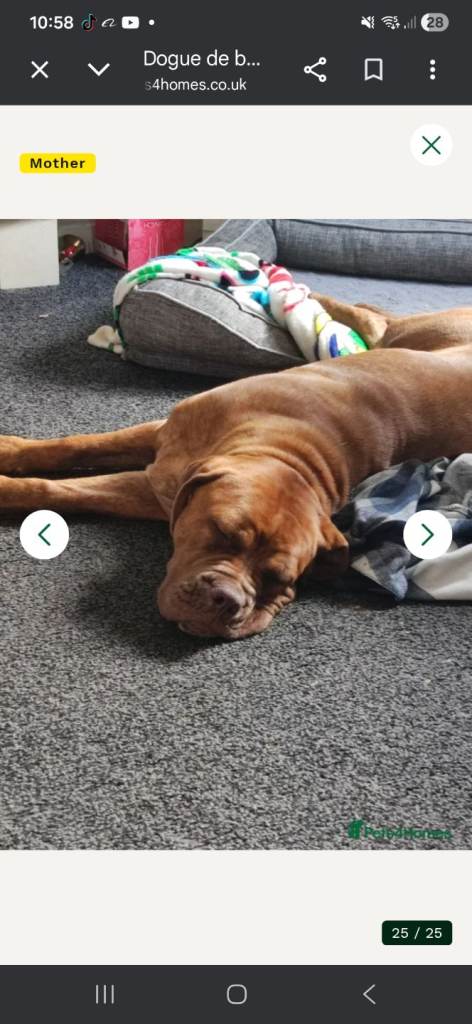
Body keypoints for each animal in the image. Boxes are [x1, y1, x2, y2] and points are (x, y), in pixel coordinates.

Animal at [2, 296, 472, 640]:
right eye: (221, 532)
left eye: (278, 578)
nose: (228, 600)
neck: (282, 447)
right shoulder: (163, 436)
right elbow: (74, 447)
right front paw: (11, 455)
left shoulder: (154, 488)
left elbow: (63, 488)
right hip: (412, 333)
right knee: (373, 319)